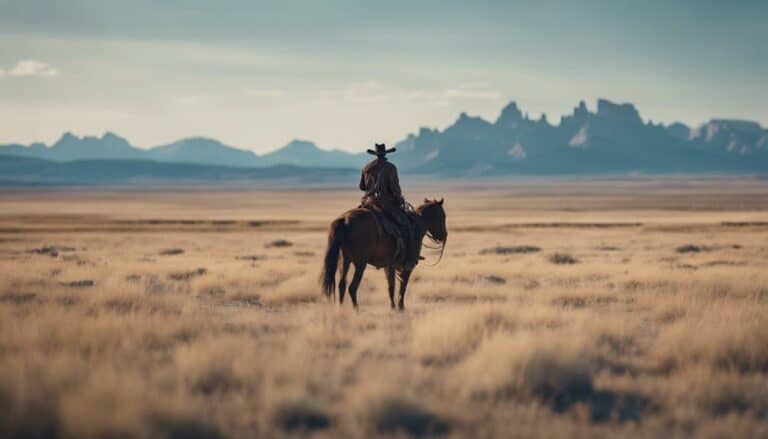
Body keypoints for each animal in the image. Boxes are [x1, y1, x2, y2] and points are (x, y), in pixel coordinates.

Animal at [320, 199, 448, 310]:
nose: (444, 236)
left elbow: (390, 287)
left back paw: (341, 309)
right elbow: (402, 286)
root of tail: (345, 220)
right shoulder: (408, 266)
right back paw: (356, 310)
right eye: (443, 216)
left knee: (342, 285)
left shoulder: (389, 266)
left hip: (344, 261)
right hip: (360, 264)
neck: (416, 225)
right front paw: (401, 307)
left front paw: (393, 307)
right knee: (352, 287)